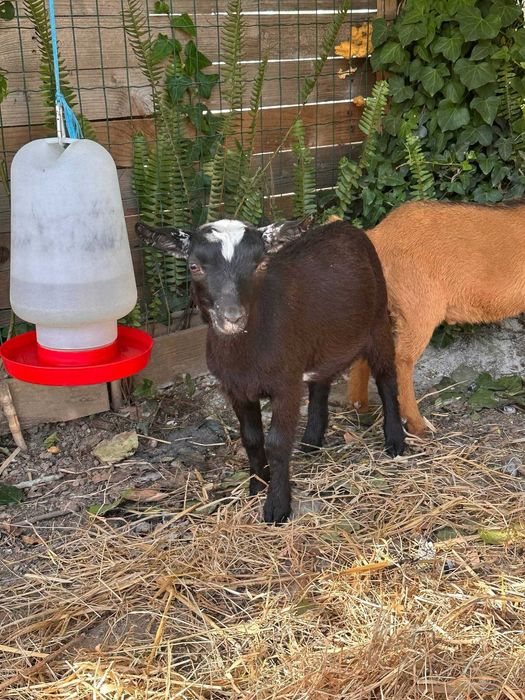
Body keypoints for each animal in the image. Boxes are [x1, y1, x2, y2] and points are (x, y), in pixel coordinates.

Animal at [136, 217, 405, 523]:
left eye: (261, 264)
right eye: (194, 266)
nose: (232, 316)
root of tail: (345, 226)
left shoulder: (285, 385)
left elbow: (277, 444)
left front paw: (277, 506)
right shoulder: (236, 389)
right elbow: (252, 439)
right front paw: (257, 485)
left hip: (378, 320)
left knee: (386, 378)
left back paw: (395, 440)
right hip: (322, 340)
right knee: (321, 380)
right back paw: (312, 439)